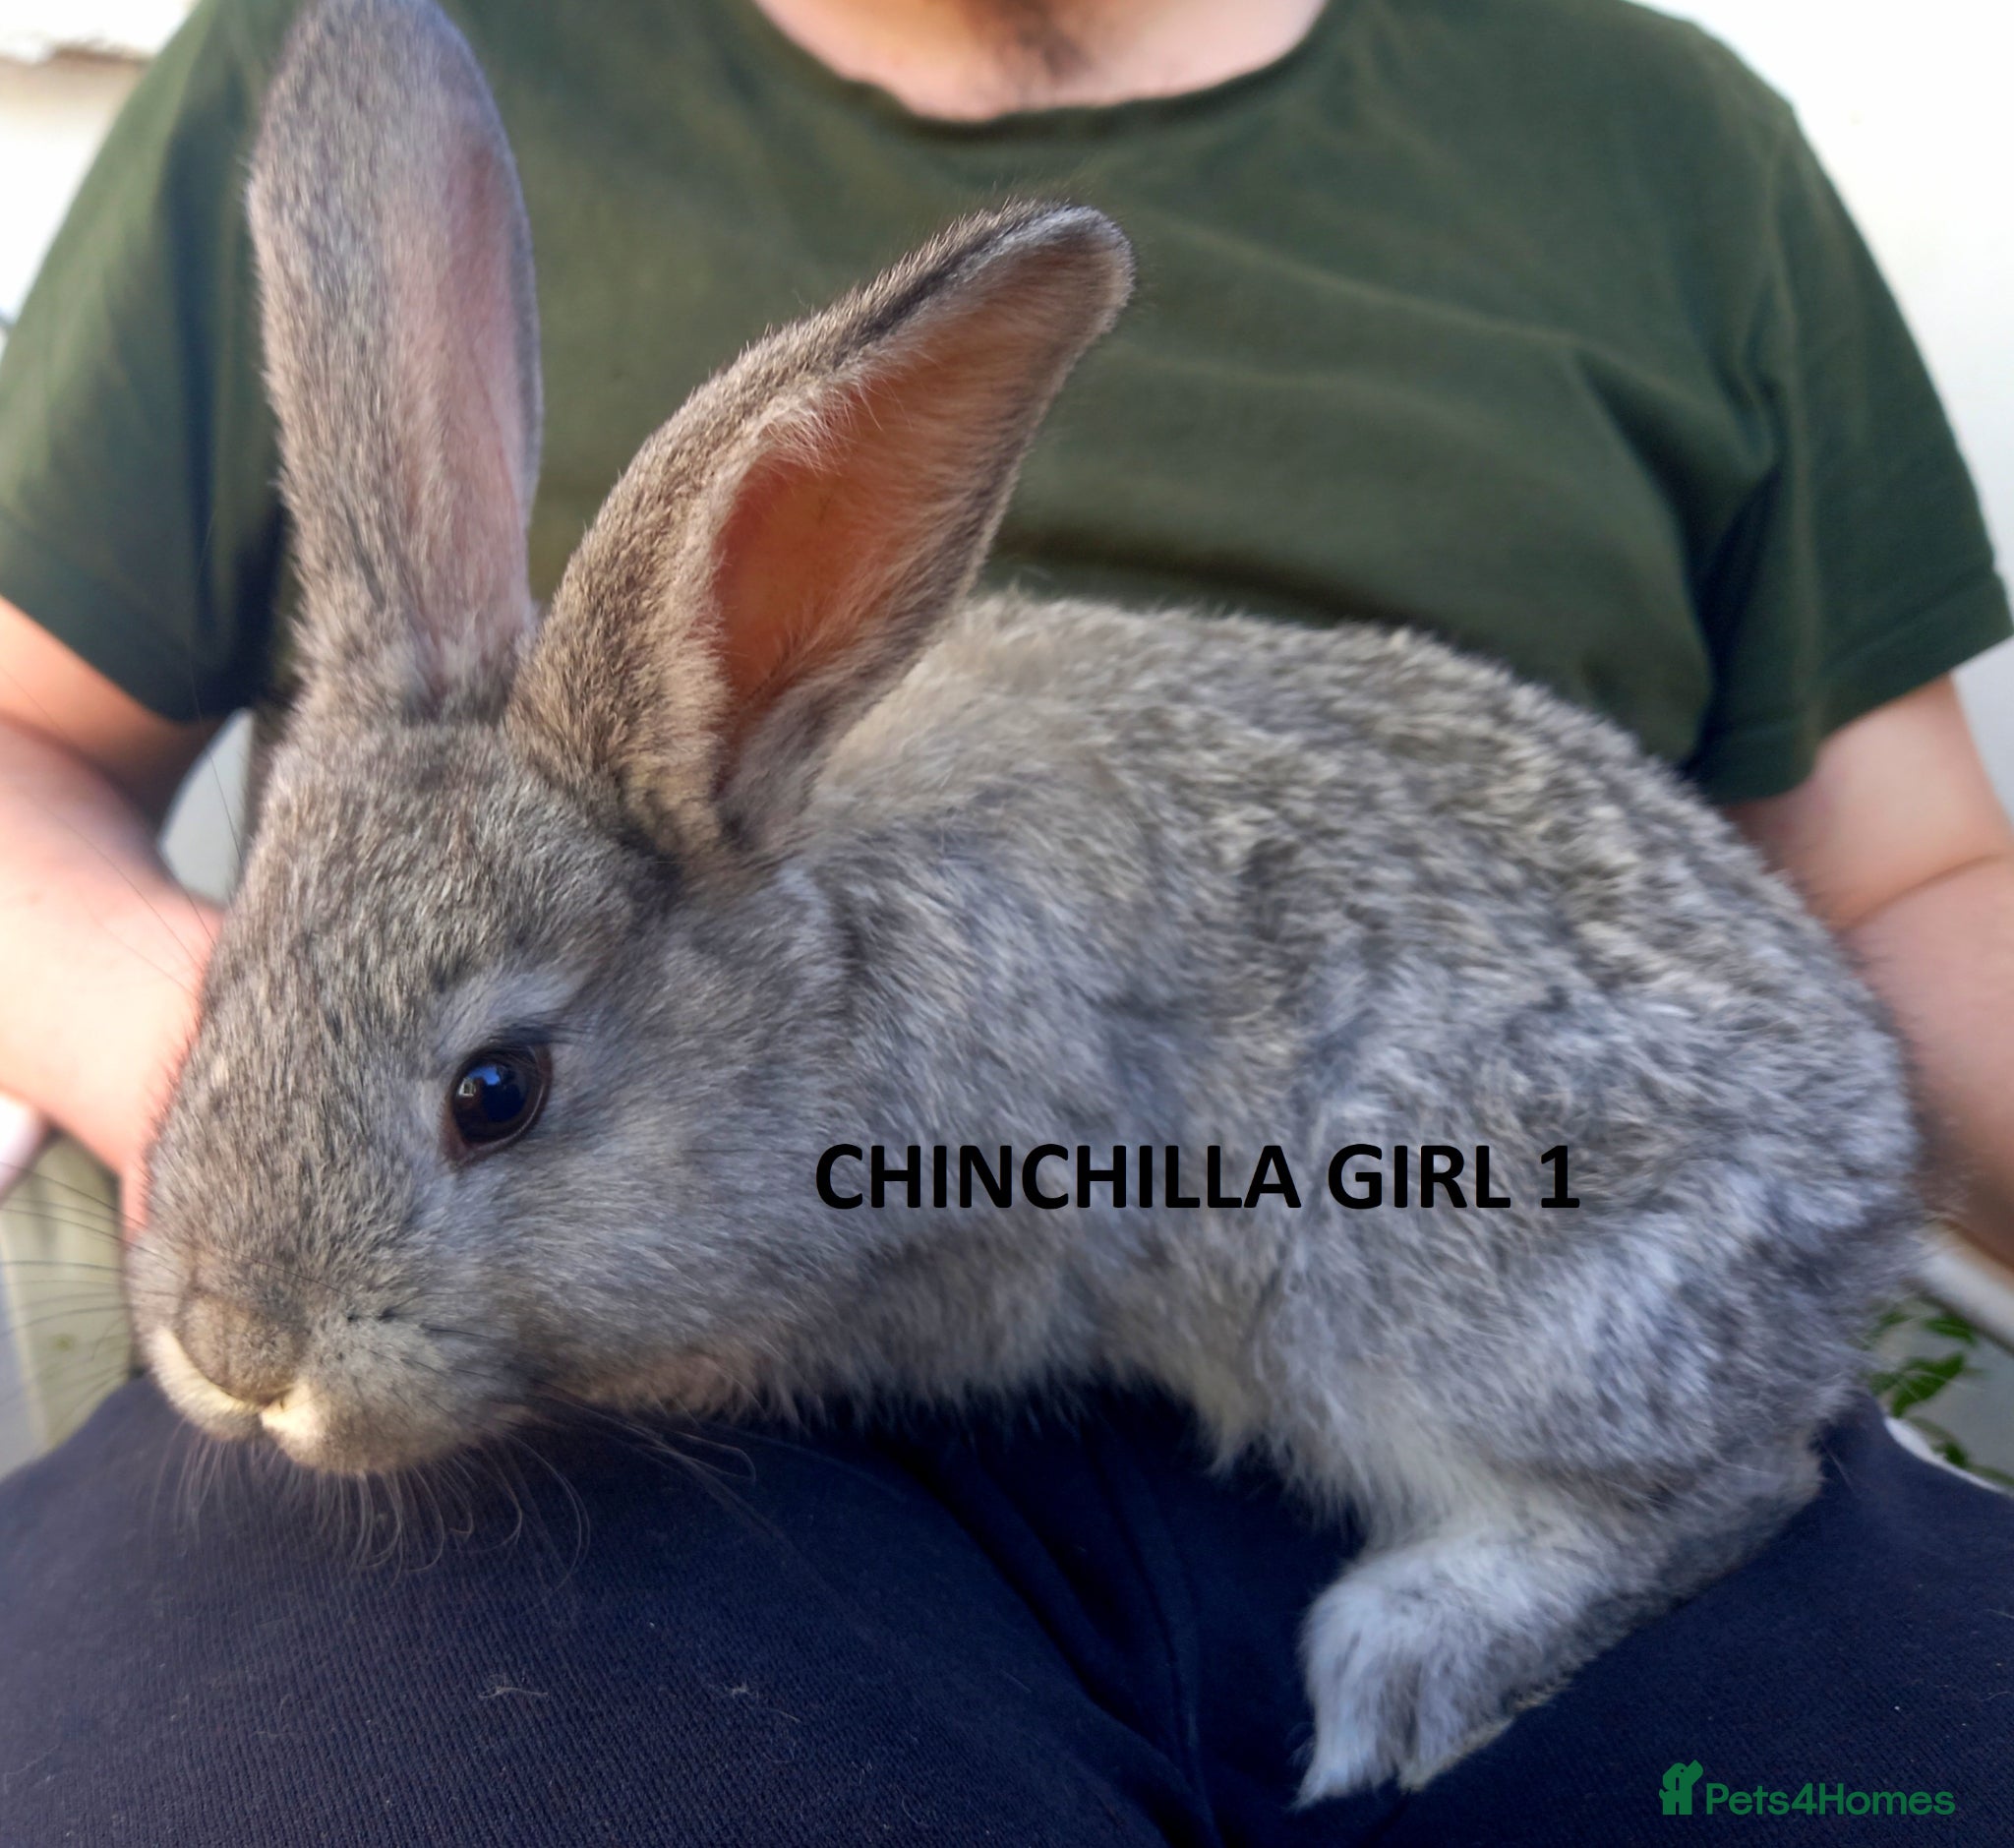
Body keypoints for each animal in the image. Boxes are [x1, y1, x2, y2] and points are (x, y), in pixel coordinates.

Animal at [128, 0, 1923, 1805]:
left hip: (1467, 1287)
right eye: (213, 997)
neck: (817, 966)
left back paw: (1396, 1670)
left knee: (1723, 1484)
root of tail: (1869, 1184)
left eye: (495, 1092)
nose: (237, 1348)